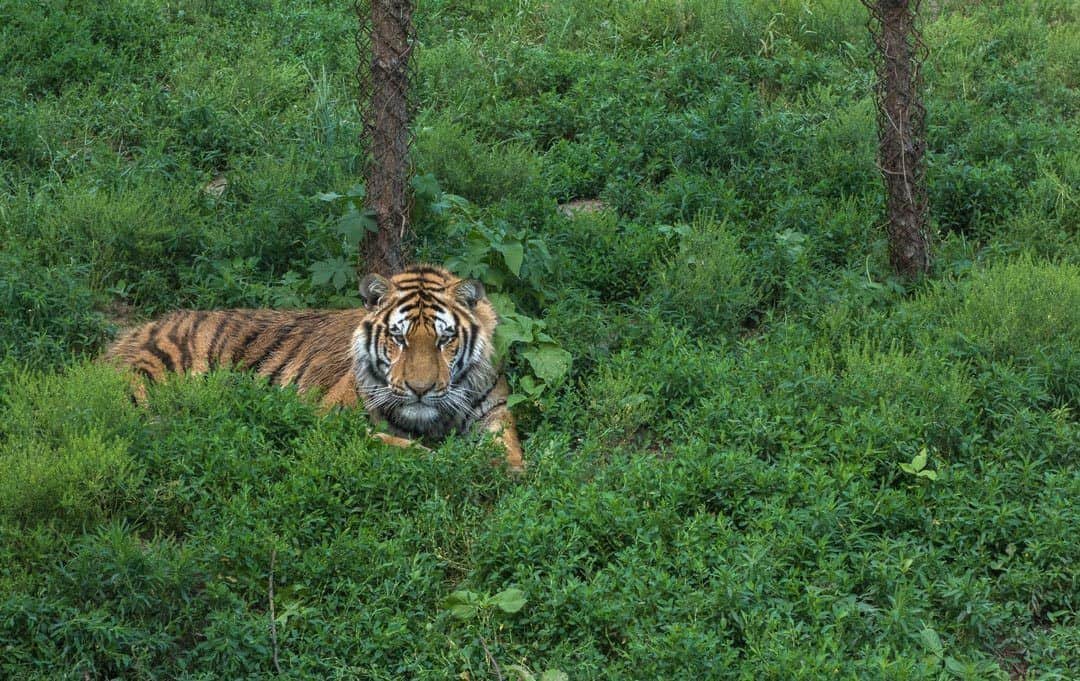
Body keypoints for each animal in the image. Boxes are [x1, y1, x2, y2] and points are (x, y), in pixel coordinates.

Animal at [103, 266, 524, 474]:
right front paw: (454, 461)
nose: (420, 389)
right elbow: (405, 449)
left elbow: (509, 450)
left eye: (443, 339)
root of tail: (133, 330)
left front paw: (505, 468)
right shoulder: (332, 421)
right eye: (398, 338)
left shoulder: (494, 412)